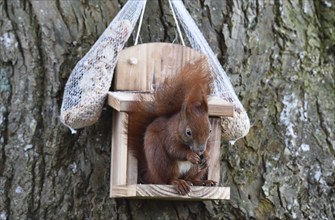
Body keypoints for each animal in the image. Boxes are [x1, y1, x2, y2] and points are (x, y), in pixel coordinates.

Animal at [127, 58, 217, 194]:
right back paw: (179, 183)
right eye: (188, 132)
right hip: (162, 160)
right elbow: (174, 149)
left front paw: (206, 156)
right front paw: (190, 155)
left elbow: (210, 147)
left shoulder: (209, 141)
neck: (177, 127)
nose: (200, 150)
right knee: (167, 179)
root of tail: (150, 173)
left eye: (210, 130)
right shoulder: (168, 135)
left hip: (196, 170)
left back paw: (202, 182)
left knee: (191, 178)